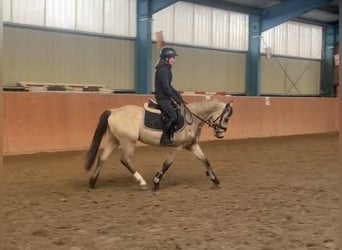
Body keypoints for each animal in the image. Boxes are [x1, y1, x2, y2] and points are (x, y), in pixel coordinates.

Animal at [84, 96, 234, 191]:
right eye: (226, 118)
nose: (220, 134)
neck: (192, 119)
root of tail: (113, 111)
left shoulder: (191, 145)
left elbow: (205, 161)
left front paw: (215, 180)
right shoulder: (177, 147)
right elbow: (166, 164)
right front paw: (156, 183)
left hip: (114, 140)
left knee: (102, 158)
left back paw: (92, 183)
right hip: (128, 142)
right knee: (125, 160)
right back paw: (142, 183)